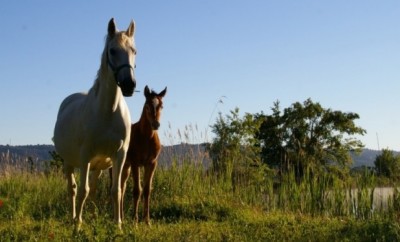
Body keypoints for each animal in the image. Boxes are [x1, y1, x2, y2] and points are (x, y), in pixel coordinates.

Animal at [54, 18, 137, 230]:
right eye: (113, 51)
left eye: (134, 50)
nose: (129, 85)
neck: (107, 112)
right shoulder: (85, 155)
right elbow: (82, 190)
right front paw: (78, 226)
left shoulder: (119, 155)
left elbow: (116, 191)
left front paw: (118, 225)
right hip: (69, 163)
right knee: (74, 189)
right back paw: (74, 218)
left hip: (97, 166)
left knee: (92, 190)